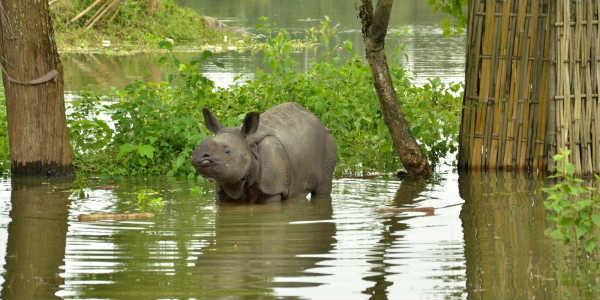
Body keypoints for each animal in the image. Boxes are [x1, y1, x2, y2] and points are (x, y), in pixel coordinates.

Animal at [192, 102, 338, 203]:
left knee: (322, 189)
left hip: (328, 143)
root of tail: (320, 121)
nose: (198, 156)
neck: (250, 146)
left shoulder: (273, 190)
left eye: (227, 151)